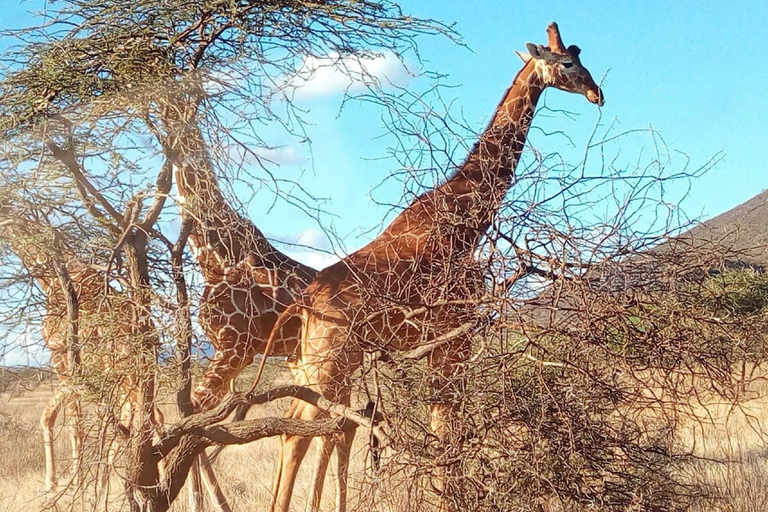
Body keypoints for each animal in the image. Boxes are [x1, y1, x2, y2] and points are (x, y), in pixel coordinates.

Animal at [0, 203, 162, 492]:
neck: (50, 275)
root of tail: (152, 333)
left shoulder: (60, 354)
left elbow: (70, 420)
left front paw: (70, 483)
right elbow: (53, 416)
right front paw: (61, 482)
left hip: (125, 373)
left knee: (141, 421)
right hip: (135, 375)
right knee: (152, 418)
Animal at [258, 22, 608, 510]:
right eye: (570, 63)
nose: (598, 93)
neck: (467, 221)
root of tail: (304, 304)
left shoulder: (439, 346)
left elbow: (443, 433)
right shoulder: (454, 339)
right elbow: (447, 437)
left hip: (324, 363)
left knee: (306, 430)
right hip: (331, 361)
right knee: (297, 435)